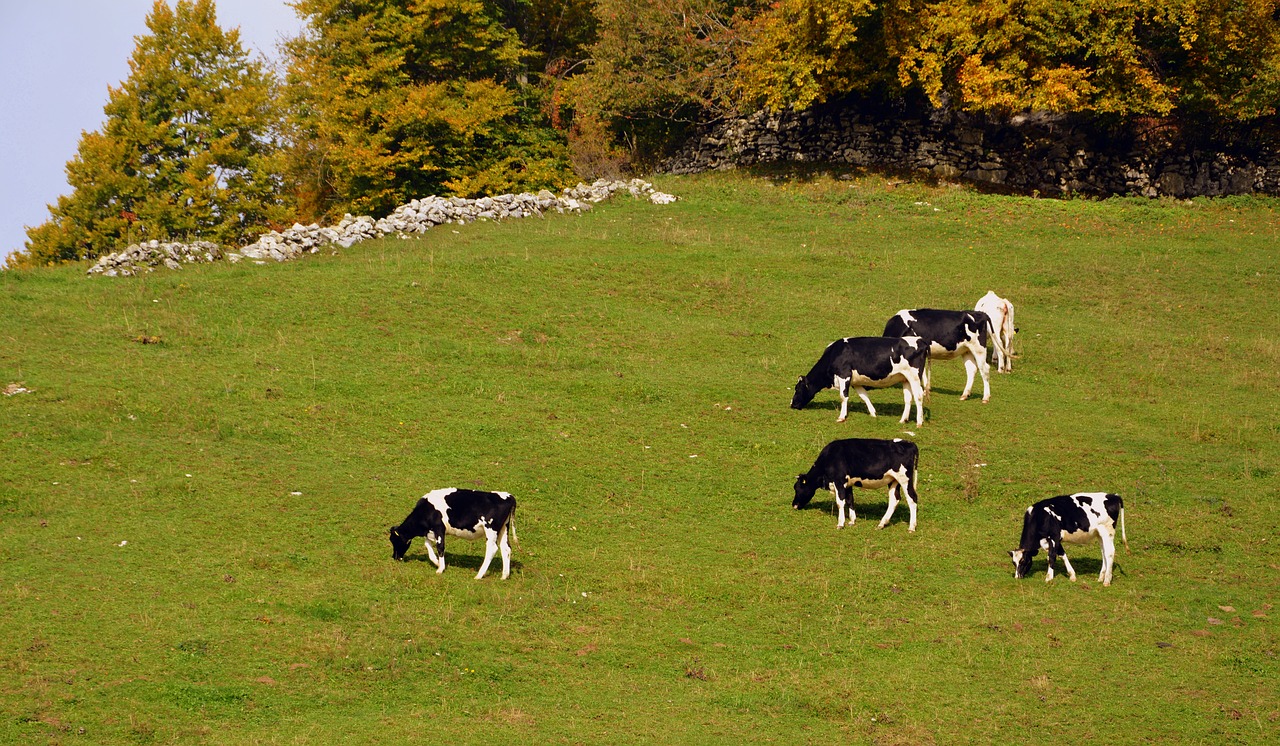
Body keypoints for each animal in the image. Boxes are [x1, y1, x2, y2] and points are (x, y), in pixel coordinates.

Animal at [386, 486, 517, 580]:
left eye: (394, 540)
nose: (394, 557)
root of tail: (508, 496)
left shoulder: (439, 528)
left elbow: (440, 547)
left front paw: (440, 568)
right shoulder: (430, 531)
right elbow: (427, 545)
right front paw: (437, 562)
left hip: (491, 529)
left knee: (492, 549)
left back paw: (479, 575)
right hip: (503, 529)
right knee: (506, 548)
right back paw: (504, 576)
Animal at [783, 337, 926, 427]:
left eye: (797, 389)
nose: (792, 404)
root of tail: (921, 341)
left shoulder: (844, 375)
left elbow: (843, 396)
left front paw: (841, 417)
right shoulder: (855, 382)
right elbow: (864, 396)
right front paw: (873, 413)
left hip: (914, 376)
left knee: (918, 396)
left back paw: (919, 422)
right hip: (905, 378)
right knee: (908, 398)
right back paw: (903, 420)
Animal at [788, 435, 921, 534]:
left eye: (798, 488)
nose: (794, 505)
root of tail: (909, 443)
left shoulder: (839, 481)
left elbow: (840, 502)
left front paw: (840, 524)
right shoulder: (848, 484)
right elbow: (850, 500)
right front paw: (852, 521)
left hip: (905, 479)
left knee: (912, 498)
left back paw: (911, 527)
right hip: (893, 481)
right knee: (894, 499)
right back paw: (881, 524)